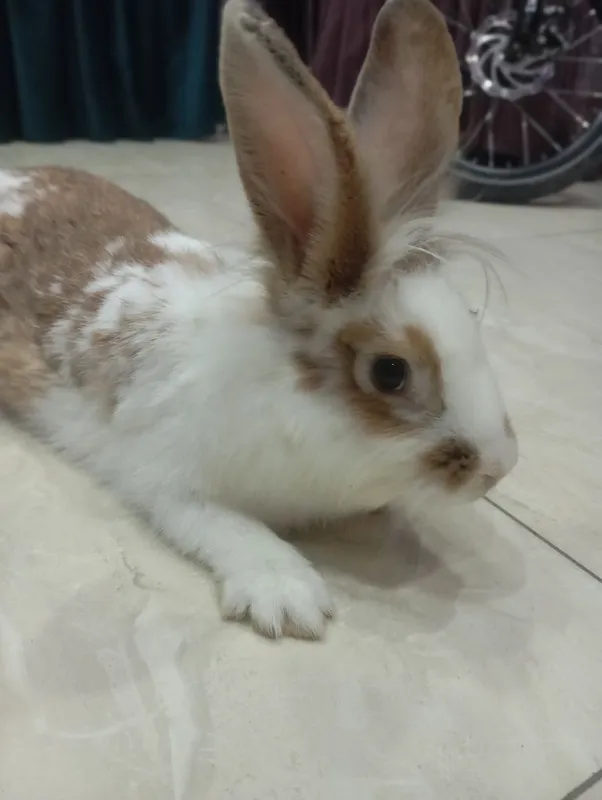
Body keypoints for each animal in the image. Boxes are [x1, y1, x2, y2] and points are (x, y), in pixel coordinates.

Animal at [0, 0, 517, 638]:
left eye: (471, 318)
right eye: (390, 372)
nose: (499, 468)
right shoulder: (169, 480)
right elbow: (231, 528)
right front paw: (289, 597)